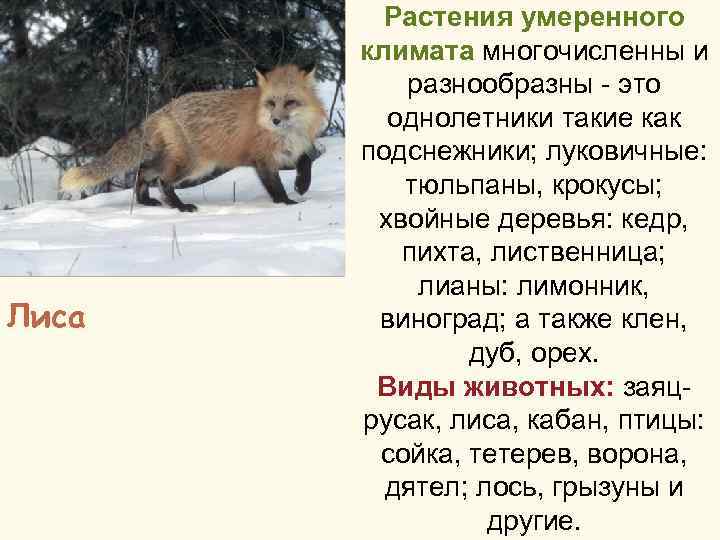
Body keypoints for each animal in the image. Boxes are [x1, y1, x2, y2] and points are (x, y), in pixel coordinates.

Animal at [61, 63, 326, 212]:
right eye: (271, 103)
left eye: (290, 102)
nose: (275, 120)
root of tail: (163, 109)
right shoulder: (262, 160)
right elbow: (276, 187)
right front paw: (287, 204)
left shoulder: (295, 148)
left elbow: (307, 160)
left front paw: (302, 185)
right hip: (193, 166)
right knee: (162, 180)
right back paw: (180, 207)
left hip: (185, 163)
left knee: (144, 170)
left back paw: (146, 202)